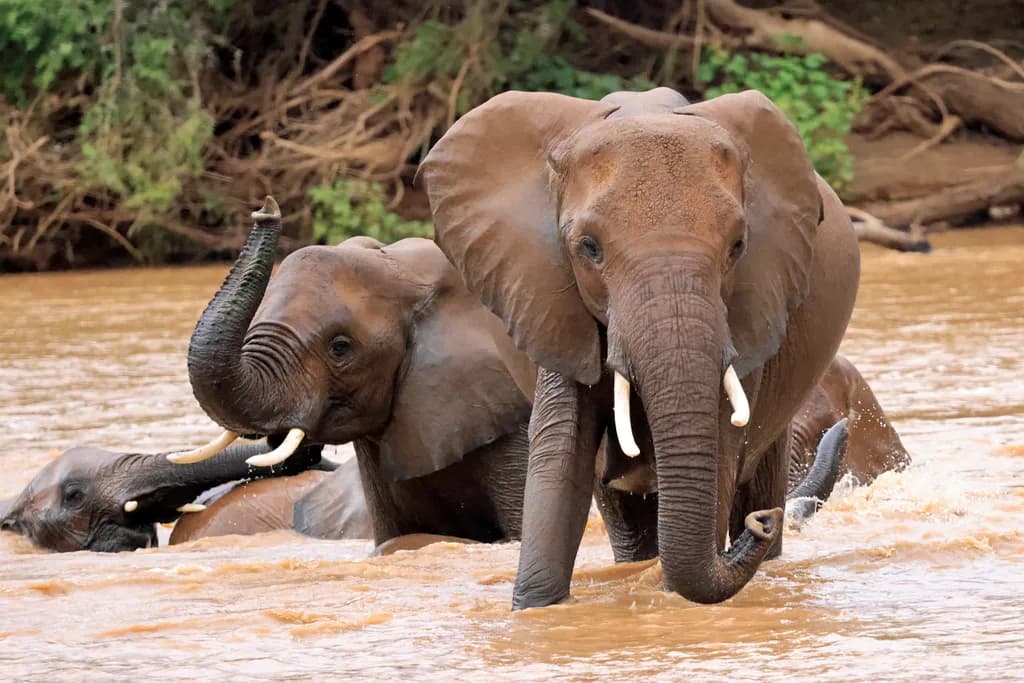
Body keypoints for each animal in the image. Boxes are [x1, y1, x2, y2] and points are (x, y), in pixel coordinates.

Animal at [421, 86, 861, 608]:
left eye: (738, 246)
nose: (764, 524)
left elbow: (719, 448)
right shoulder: (550, 299)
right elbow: (561, 451)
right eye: (589, 247)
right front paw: (535, 608)